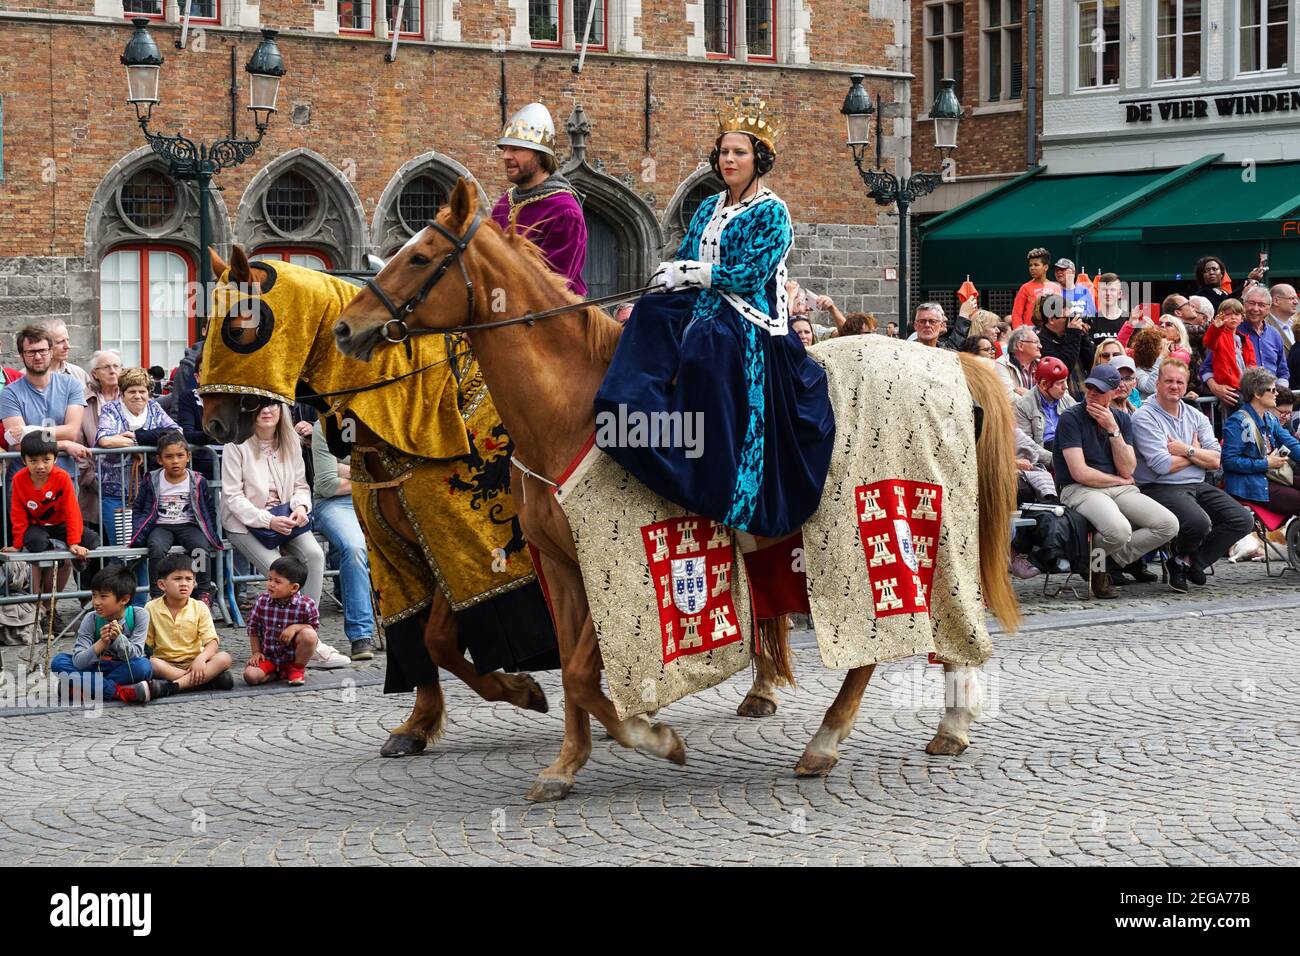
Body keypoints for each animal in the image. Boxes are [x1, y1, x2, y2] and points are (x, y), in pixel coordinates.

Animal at [201, 251, 548, 759]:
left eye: (239, 328)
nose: (212, 424)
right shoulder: (400, 558)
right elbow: (419, 639)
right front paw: (418, 725)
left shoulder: (462, 554)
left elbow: (439, 639)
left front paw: (520, 690)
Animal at [330, 178, 1019, 801]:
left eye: (421, 257)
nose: (345, 329)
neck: (570, 411)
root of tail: (950, 359)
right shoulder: (560, 569)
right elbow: (569, 676)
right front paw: (565, 765)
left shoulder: (619, 564)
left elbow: (583, 675)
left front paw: (651, 736)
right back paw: (932, 727)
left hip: (884, 534)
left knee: (891, 638)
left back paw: (842, 739)